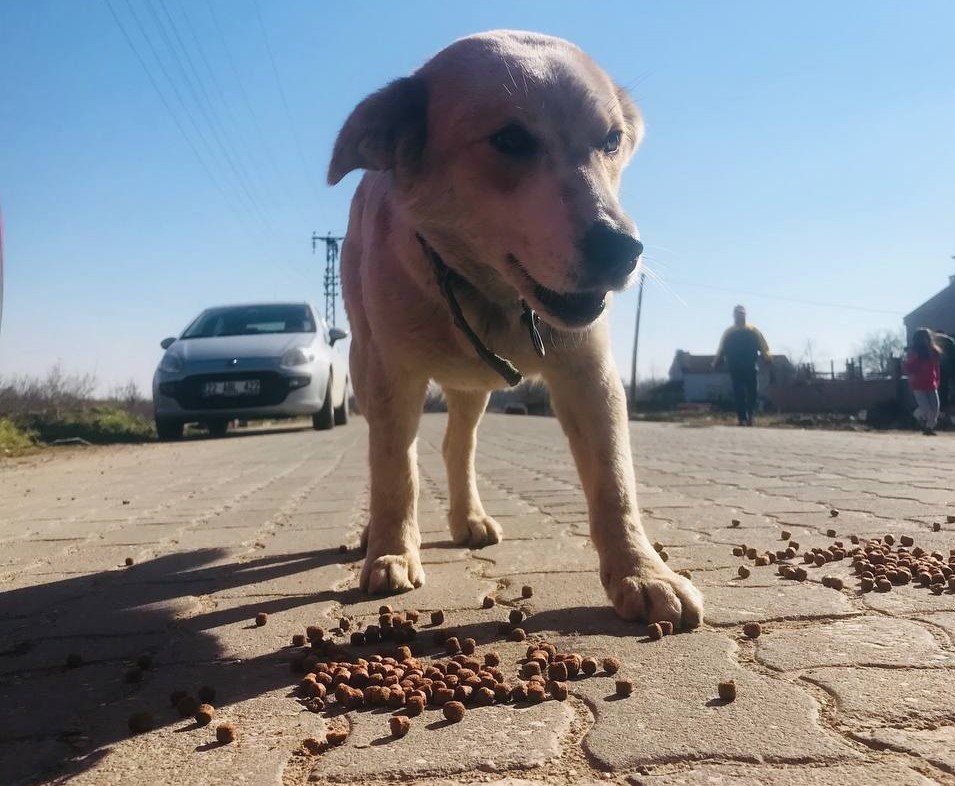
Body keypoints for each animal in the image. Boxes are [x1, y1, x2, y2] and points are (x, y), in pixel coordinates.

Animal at [328, 30, 704, 628]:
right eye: (509, 138)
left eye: (612, 140)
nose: (622, 249)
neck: (486, 293)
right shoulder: (388, 374)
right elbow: (394, 468)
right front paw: (390, 551)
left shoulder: (589, 372)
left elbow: (615, 482)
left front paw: (643, 573)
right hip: (369, 362)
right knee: (397, 452)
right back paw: (379, 533)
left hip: (473, 389)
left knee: (456, 447)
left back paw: (468, 517)